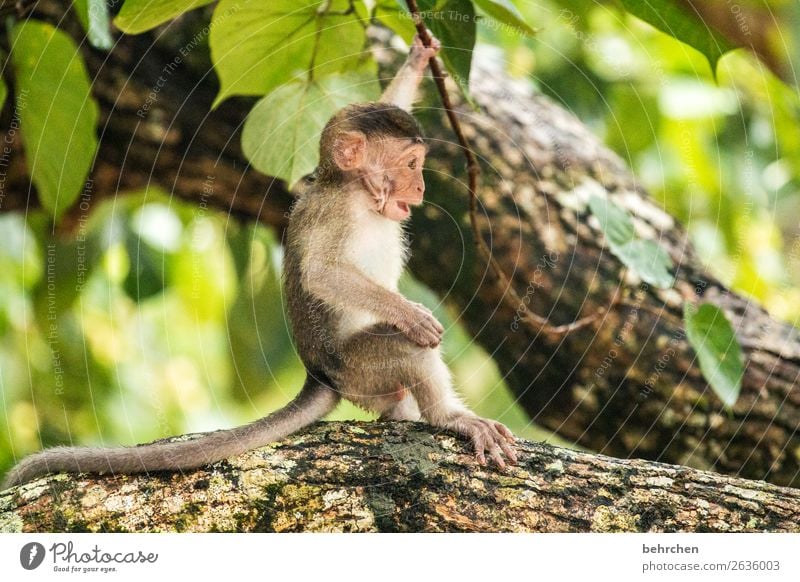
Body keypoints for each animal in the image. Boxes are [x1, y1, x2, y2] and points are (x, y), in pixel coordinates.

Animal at [3, 35, 516, 492]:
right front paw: (411, 313)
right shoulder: (336, 212)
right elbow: (322, 274)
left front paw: (416, 58)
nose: (422, 187)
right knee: (408, 351)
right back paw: (452, 417)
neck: (356, 192)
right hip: (359, 368)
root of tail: (321, 375)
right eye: (411, 163)